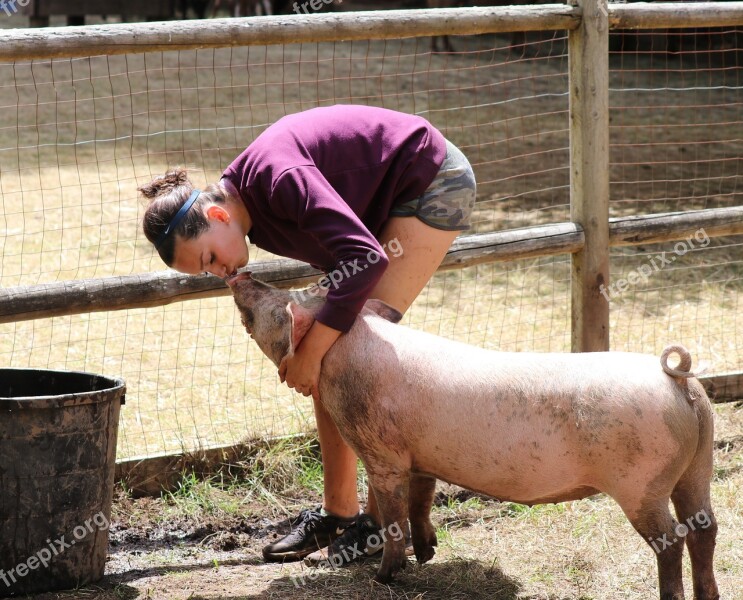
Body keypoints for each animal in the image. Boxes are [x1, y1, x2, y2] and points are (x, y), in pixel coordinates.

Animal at [227, 274, 720, 600]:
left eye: (282, 301)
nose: (243, 274)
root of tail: (676, 378)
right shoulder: (420, 456)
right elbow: (422, 500)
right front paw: (428, 553)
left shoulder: (382, 453)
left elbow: (393, 513)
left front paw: (385, 577)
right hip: (697, 467)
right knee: (705, 528)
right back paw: (709, 595)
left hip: (642, 483)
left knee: (672, 538)